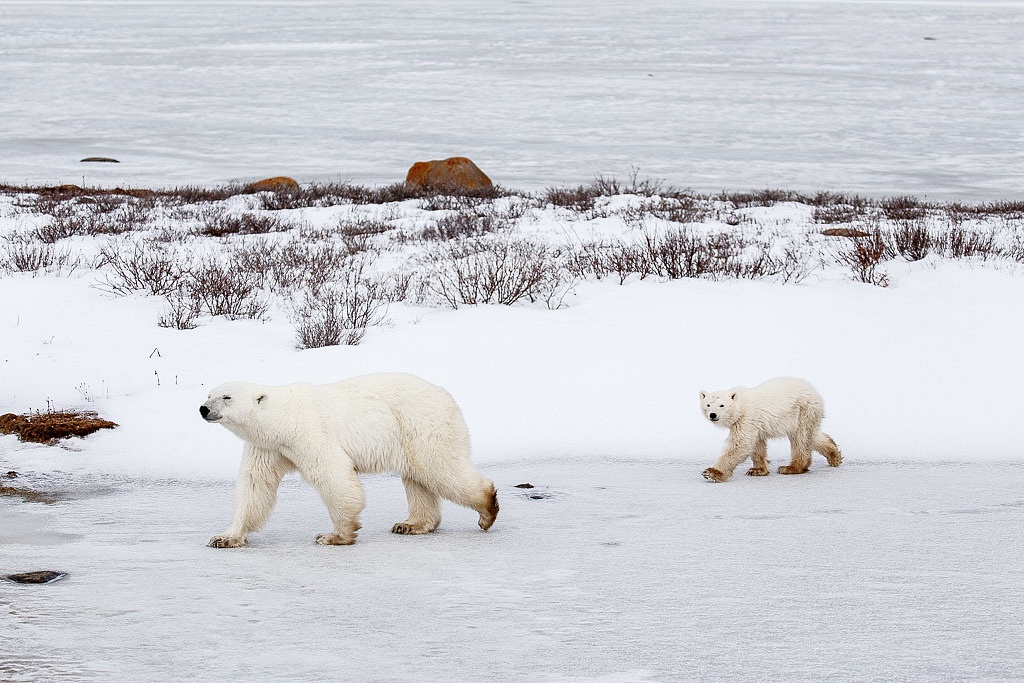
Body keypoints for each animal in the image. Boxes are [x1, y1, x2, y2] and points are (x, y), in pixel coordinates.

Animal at [198, 370, 495, 548]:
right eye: (209, 394)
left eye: (227, 397)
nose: (203, 409)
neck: (284, 419)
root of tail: (448, 397)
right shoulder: (267, 447)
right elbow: (254, 486)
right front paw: (224, 537)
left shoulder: (310, 433)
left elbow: (334, 476)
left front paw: (334, 535)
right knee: (418, 478)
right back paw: (411, 524)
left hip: (421, 425)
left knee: (440, 467)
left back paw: (487, 510)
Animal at [700, 376, 843, 483]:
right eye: (708, 404)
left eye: (722, 405)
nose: (713, 415)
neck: (742, 406)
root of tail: (815, 392)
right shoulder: (754, 425)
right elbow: (756, 445)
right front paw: (757, 470)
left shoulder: (746, 419)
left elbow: (740, 444)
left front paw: (712, 472)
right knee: (812, 436)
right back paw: (834, 456)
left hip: (802, 411)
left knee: (800, 439)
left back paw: (790, 467)